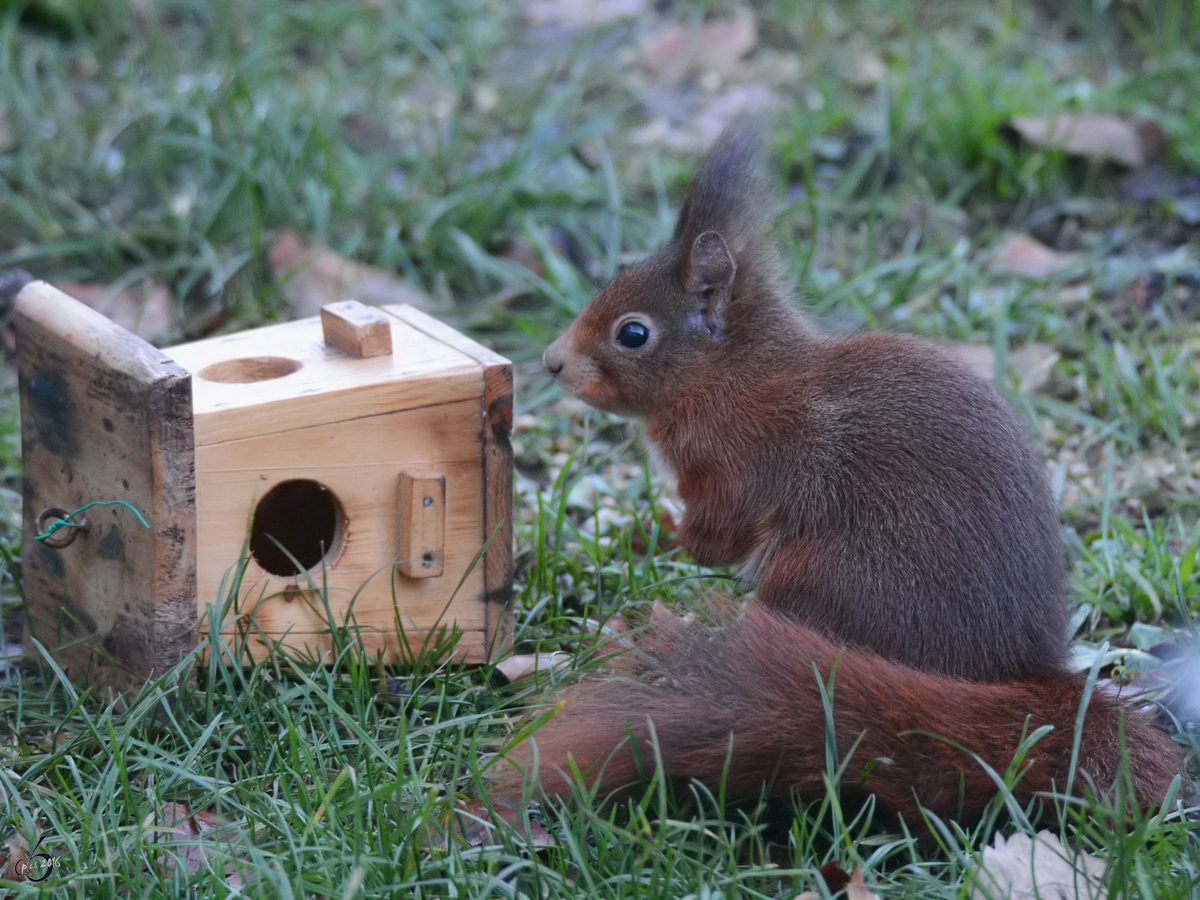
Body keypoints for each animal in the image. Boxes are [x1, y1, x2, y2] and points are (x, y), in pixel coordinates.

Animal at [501, 125, 1185, 825]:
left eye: (632, 334)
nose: (552, 363)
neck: (727, 376)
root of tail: (1022, 675)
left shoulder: (742, 460)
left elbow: (721, 529)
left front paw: (670, 533)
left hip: (825, 579)